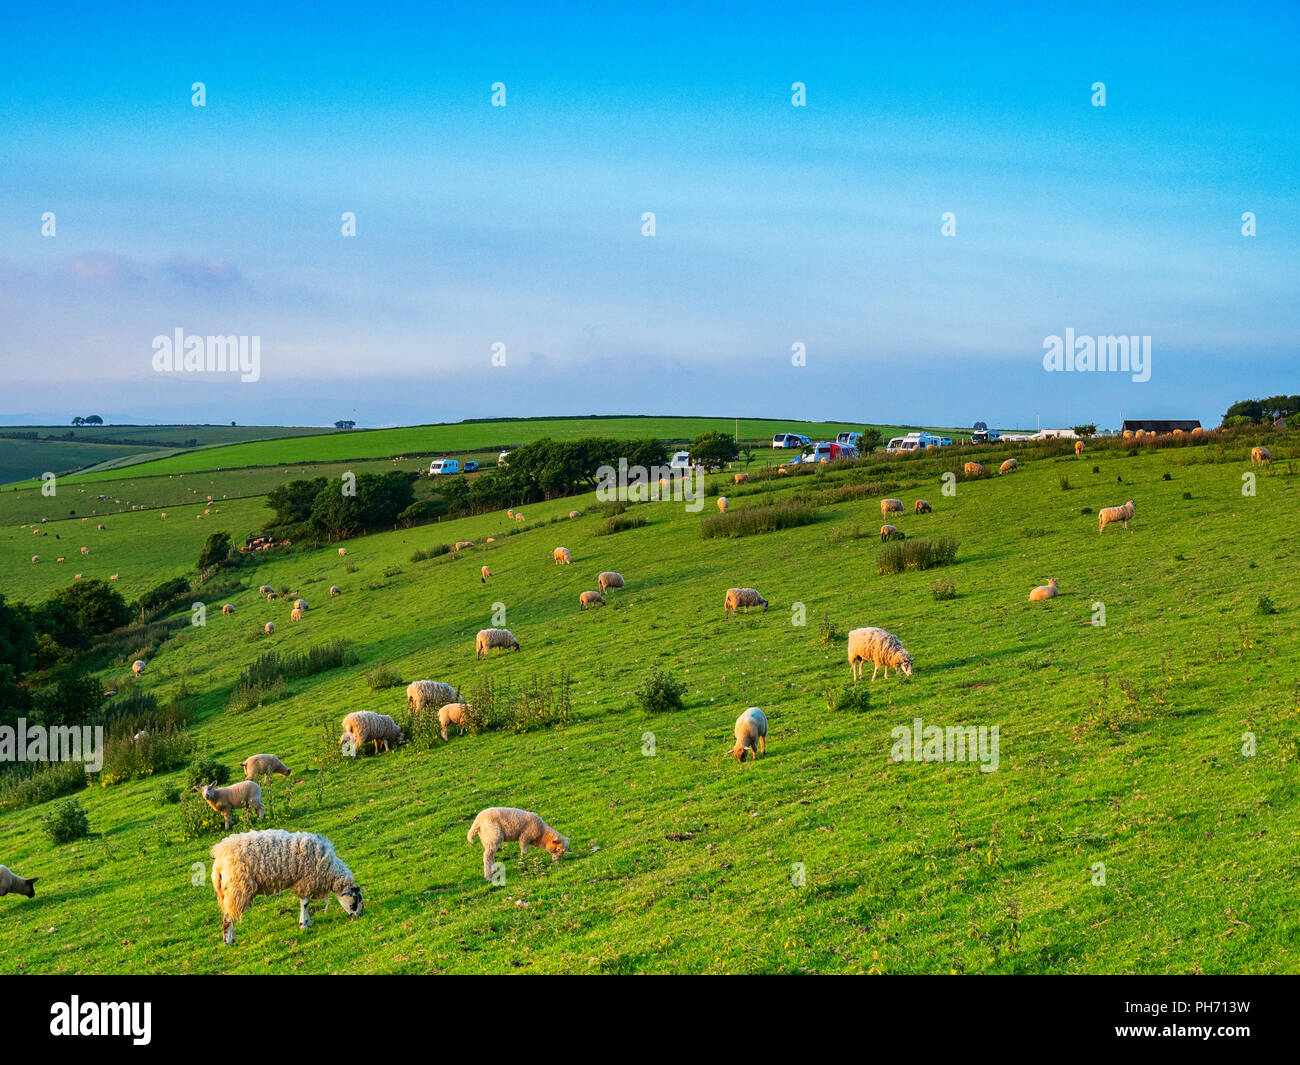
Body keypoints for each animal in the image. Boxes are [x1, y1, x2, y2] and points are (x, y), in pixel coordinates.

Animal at [209, 827, 364, 946]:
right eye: (355, 901)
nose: (359, 915)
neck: (329, 869)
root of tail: (219, 859)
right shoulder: (306, 880)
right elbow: (305, 903)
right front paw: (303, 925)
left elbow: (305, 903)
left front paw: (308, 921)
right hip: (237, 888)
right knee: (228, 916)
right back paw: (227, 941)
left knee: (230, 913)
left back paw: (233, 938)